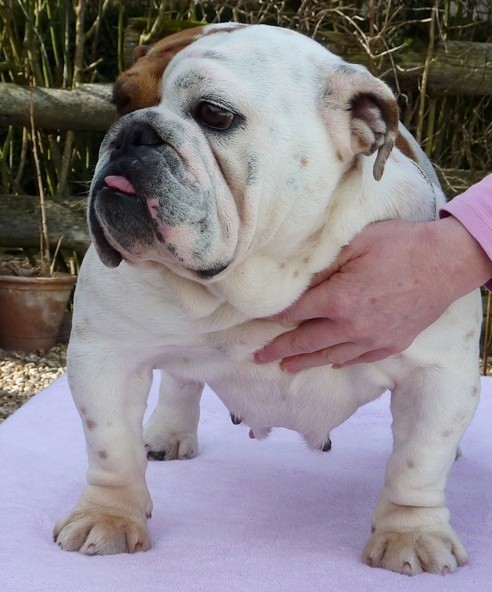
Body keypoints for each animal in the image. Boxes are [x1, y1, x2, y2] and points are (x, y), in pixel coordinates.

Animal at [54, 23, 482, 575]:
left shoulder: (439, 374)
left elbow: (418, 463)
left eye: (214, 114)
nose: (132, 132)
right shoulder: (104, 354)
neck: (259, 278)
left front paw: (412, 534)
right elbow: (110, 446)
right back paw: (168, 432)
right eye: (119, 101)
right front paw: (108, 517)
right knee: (179, 380)